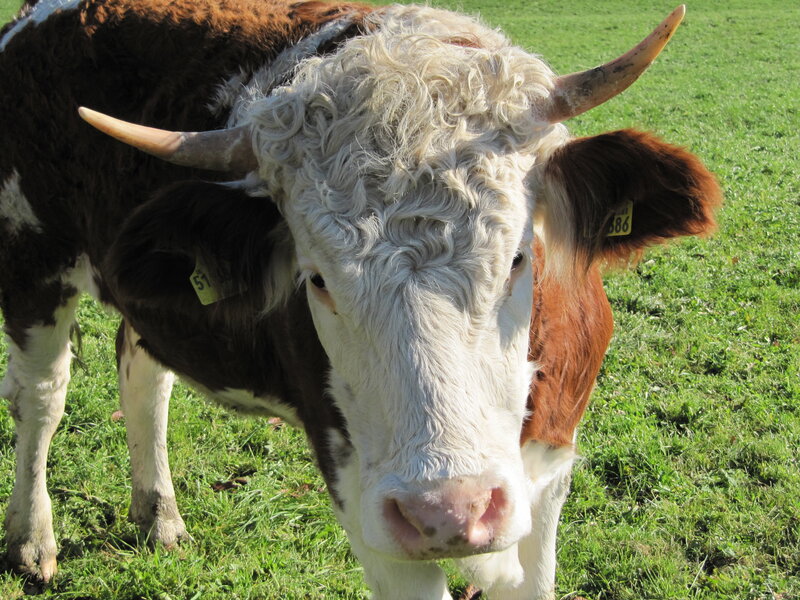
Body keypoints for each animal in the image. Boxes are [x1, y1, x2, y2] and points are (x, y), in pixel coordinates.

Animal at [0, 0, 720, 597]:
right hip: (32, 265)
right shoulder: (365, 499)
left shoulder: (548, 472)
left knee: (144, 376)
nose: (447, 511)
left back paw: (158, 516)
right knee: (42, 398)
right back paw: (31, 542)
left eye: (520, 256)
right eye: (316, 278)